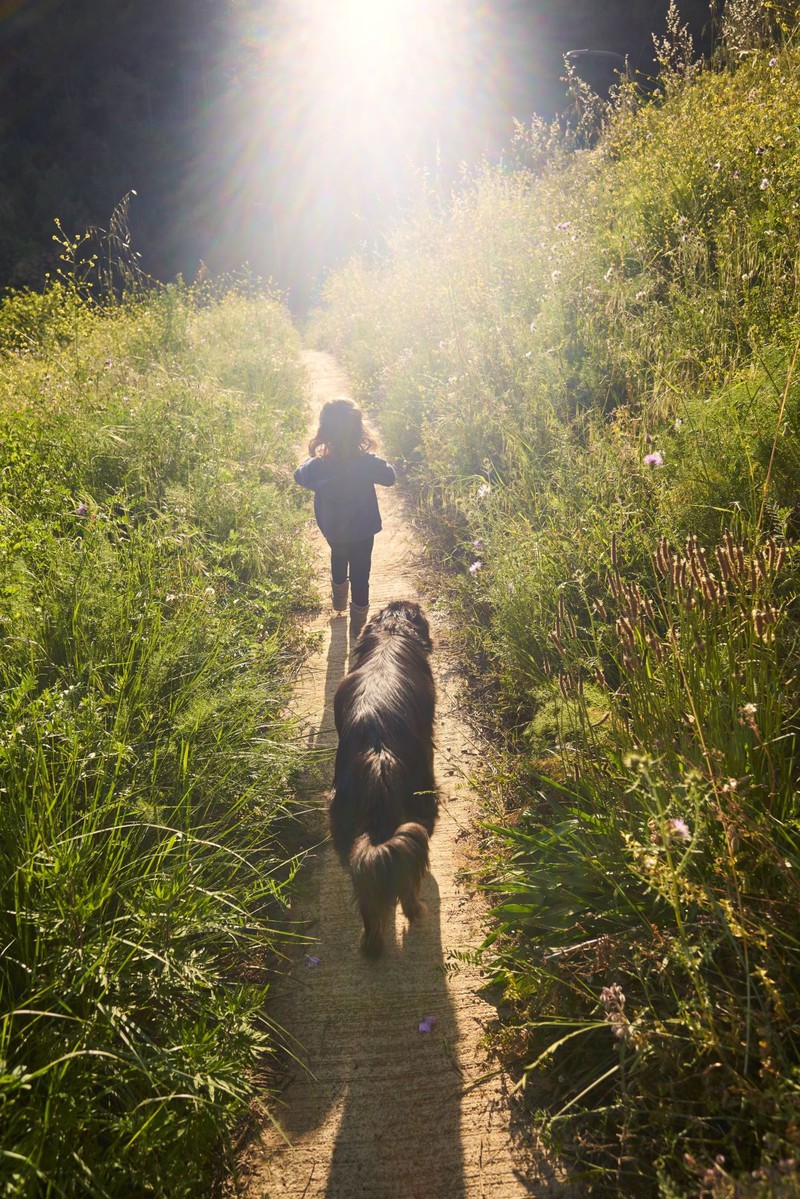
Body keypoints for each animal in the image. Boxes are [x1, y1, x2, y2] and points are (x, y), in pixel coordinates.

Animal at [331, 599, 441, 954]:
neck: (391, 632)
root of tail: (378, 766)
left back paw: (373, 943)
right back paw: (415, 909)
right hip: (423, 803)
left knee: (367, 894)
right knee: (406, 878)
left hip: (345, 828)